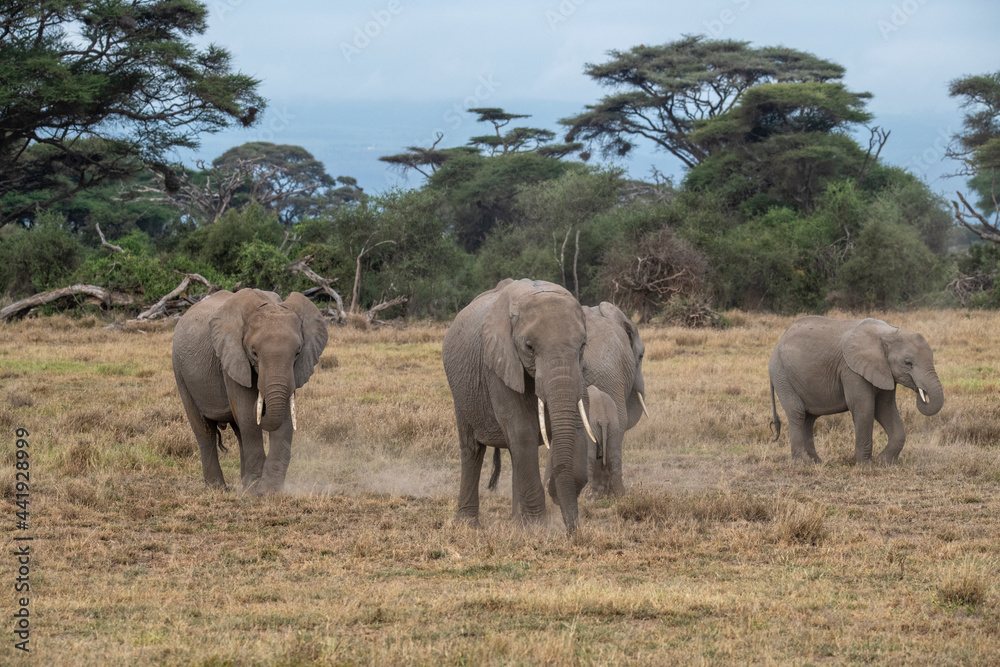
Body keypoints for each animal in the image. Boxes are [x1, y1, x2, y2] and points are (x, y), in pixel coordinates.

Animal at [172, 288, 328, 492]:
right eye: (254, 353)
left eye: (297, 353)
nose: (262, 406)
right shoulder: (232, 358)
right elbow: (247, 413)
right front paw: (256, 490)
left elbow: (285, 418)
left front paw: (269, 490)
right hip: (180, 371)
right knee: (204, 431)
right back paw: (218, 489)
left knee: (239, 432)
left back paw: (243, 483)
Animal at [442, 278, 597, 533]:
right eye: (529, 347)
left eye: (583, 345)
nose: (572, 531)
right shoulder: (498, 364)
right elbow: (521, 430)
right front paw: (537, 528)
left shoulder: (579, 372)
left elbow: (577, 427)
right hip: (461, 393)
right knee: (473, 449)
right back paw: (468, 524)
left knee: (515, 453)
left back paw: (516, 522)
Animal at [768, 316, 944, 464]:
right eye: (908, 363)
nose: (921, 394)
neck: (887, 333)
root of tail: (778, 343)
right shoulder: (851, 370)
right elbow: (864, 407)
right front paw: (866, 465)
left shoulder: (884, 371)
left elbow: (885, 409)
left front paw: (884, 461)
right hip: (782, 375)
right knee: (797, 412)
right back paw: (804, 462)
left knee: (809, 418)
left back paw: (817, 461)